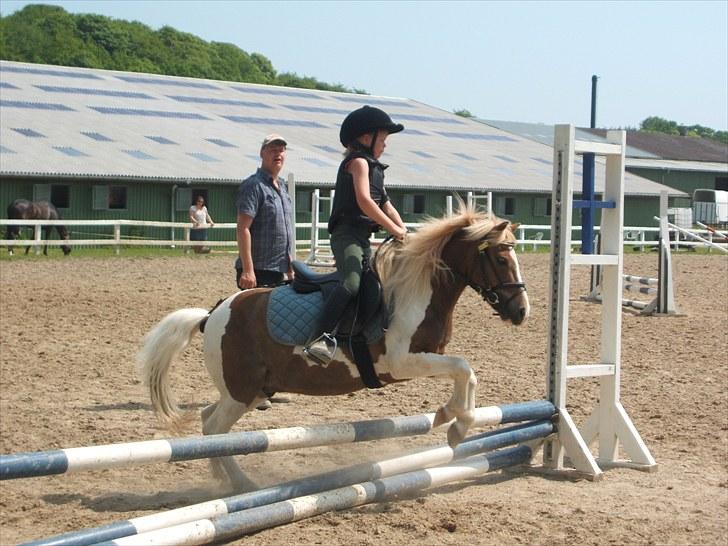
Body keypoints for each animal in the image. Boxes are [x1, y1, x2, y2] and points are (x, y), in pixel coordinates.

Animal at [139, 207, 532, 484]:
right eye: (500, 259)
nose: (521, 312)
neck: (415, 290)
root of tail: (213, 313)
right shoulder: (401, 362)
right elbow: (464, 368)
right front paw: (456, 425)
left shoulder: (424, 358)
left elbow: (466, 373)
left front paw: (449, 416)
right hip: (241, 391)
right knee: (214, 430)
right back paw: (240, 484)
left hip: (251, 391)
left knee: (209, 422)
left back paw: (225, 481)